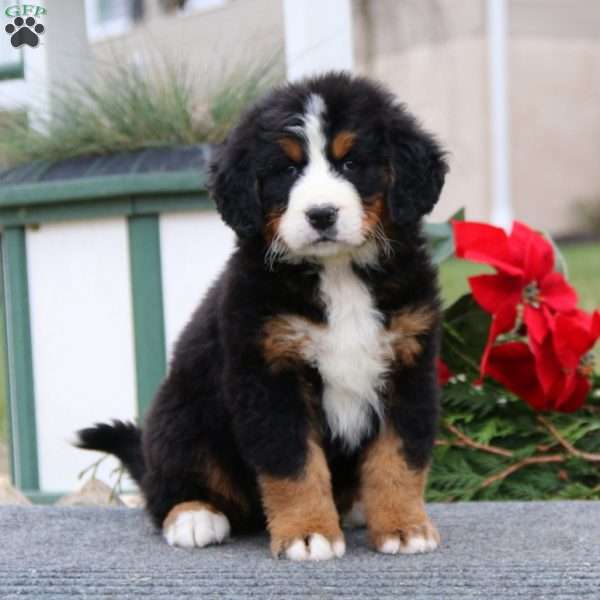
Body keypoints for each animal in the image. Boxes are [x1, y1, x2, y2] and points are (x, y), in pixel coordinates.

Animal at [77, 72, 448, 560]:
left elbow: (398, 458)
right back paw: (194, 515)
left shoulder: (408, 365)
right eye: (287, 170)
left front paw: (404, 527)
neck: (338, 273)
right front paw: (308, 532)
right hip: (182, 417)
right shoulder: (269, 374)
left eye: (351, 163)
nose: (321, 214)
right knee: (165, 488)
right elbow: (293, 464)